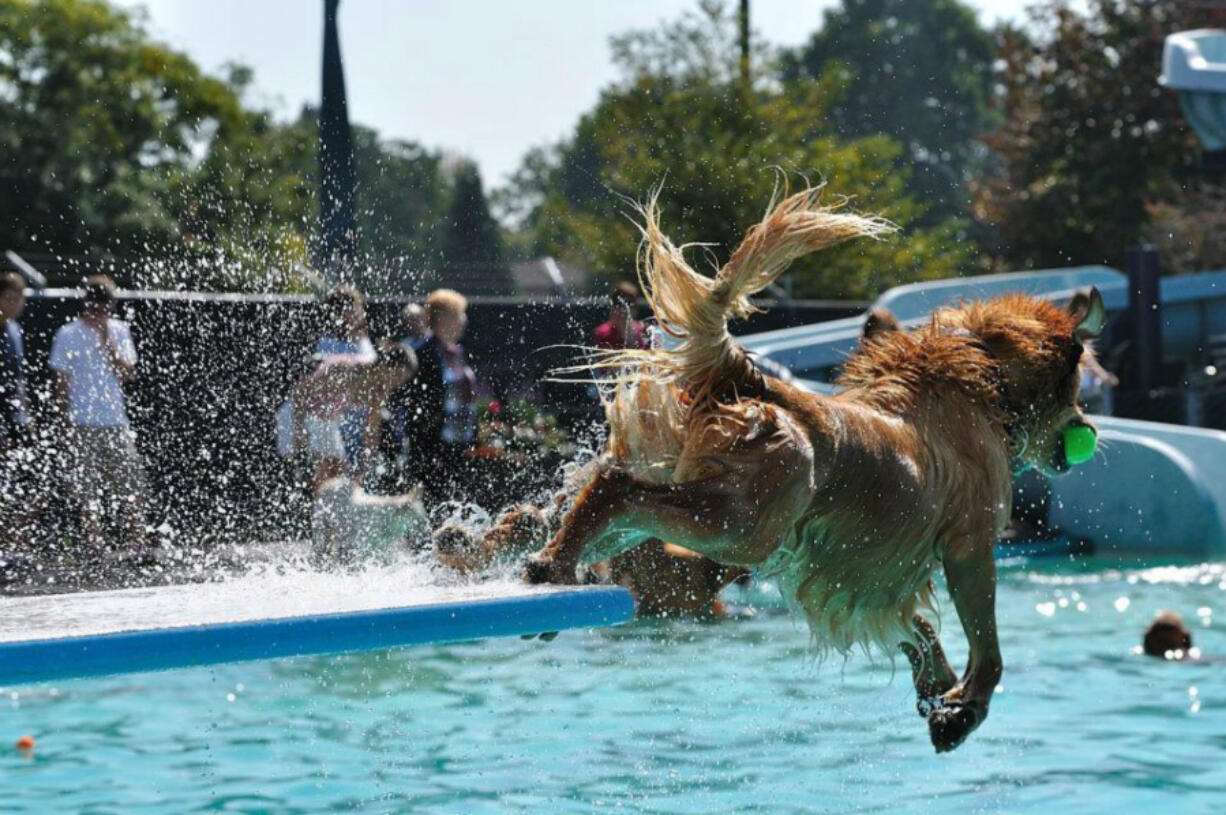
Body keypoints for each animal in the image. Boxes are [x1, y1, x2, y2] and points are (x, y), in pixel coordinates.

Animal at [522, 183, 1108, 750]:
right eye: (1078, 388)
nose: (1091, 430)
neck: (980, 377)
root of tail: (750, 378)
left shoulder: (862, 577)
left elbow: (918, 627)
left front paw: (937, 690)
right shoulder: (971, 544)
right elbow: (988, 650)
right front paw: (964, 708)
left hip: (686, 493)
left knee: (604, 510)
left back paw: (550, 564)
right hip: (743, 524)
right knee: (619, 488)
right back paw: (557, 560)